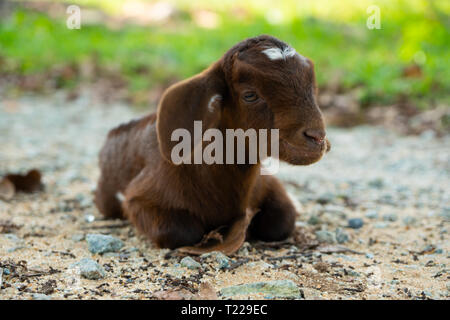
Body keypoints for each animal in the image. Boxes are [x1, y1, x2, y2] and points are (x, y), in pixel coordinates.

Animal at [95, 35, 330, 250]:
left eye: (312, 87)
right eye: (250, 95)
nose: (317, 137)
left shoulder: (267, 184)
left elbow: (283, 221)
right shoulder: (138, 198)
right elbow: (181, 231)